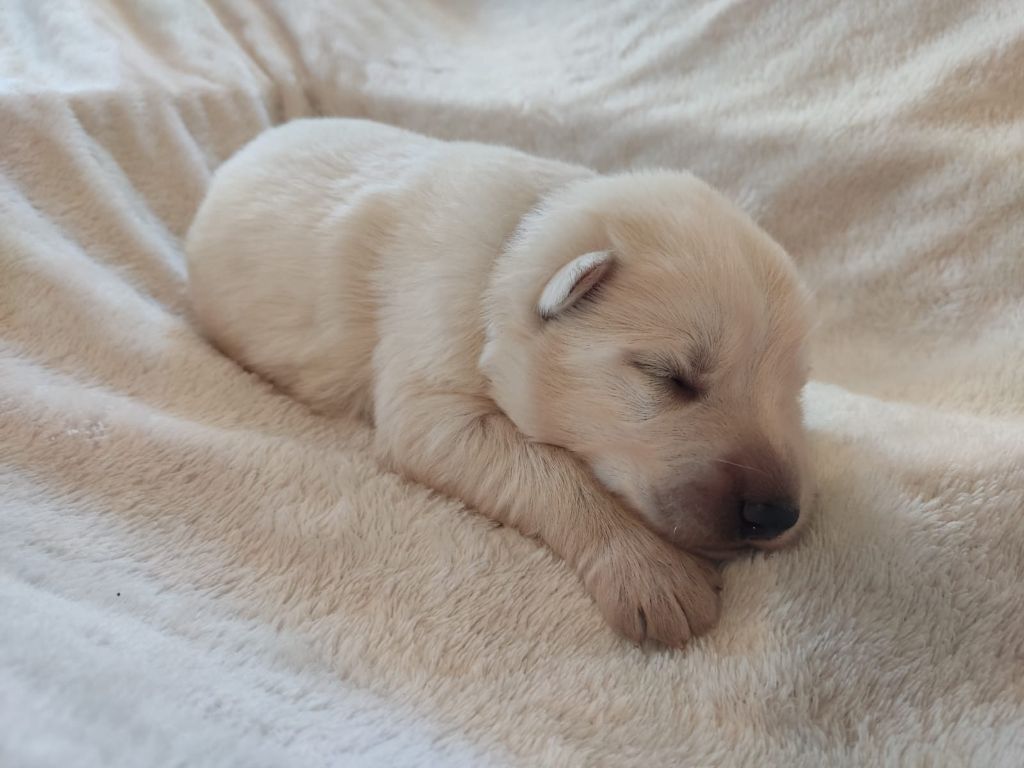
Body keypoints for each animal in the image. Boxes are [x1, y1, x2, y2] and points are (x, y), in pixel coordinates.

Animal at [184, 118, 806, 651]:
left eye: (794, 392)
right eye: (670, 377)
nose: (778, 516)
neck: (510, 251)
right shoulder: (430, 401)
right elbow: (553, 472)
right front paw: (655, 572)